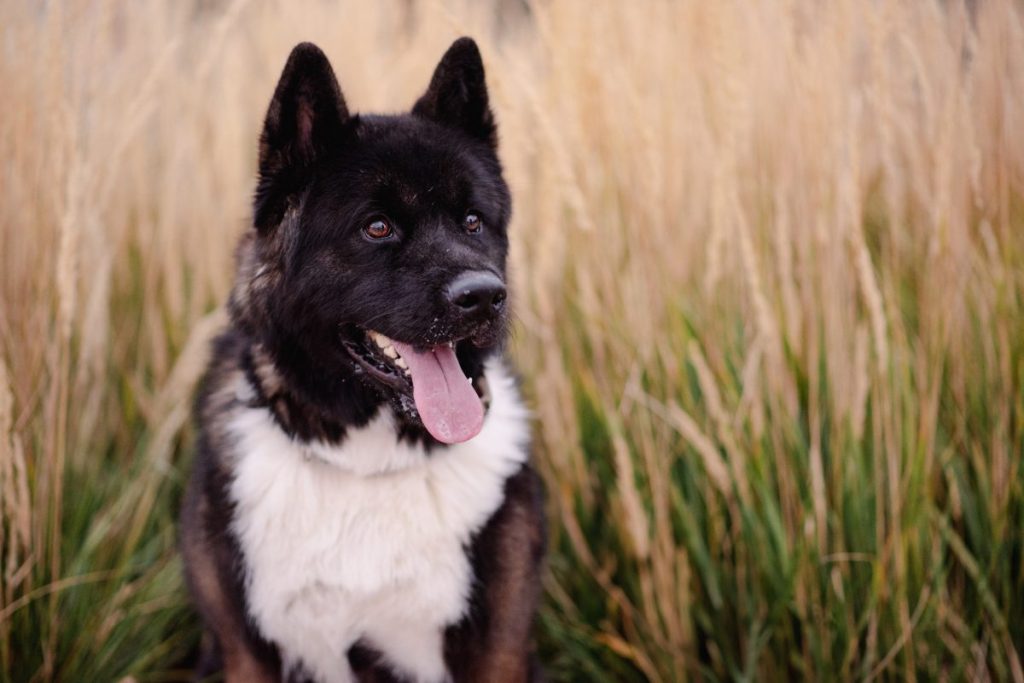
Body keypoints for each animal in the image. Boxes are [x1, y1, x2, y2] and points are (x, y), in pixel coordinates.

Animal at [178, 38, 544, 683]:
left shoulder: (499, 652)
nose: (483, 297)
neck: (367, 461)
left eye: (473, 221)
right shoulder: (245, 654)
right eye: (377, 227)